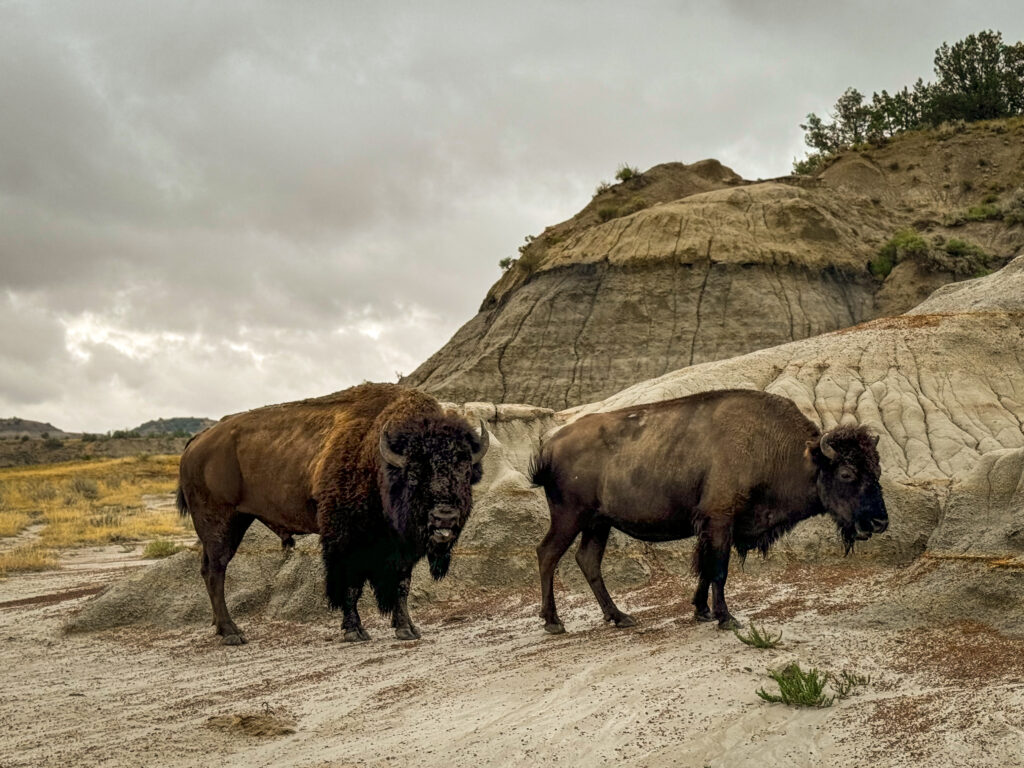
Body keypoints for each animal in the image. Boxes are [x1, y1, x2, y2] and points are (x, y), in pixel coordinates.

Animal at [176, 382, 487, 643]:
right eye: (414, 474)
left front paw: (407, 629)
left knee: (209, 570)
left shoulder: (401, 548)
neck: (376, 458)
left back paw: (221, 628)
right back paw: (232, 633)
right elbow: (349, 586)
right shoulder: (345, 540)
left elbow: (402, 585)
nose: (444, 517)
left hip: (235, 521)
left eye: (465, 472)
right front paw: (354, 631)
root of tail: (197, 441)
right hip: (220, 523)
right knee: (216, 571)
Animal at [528, 393, 888, 634]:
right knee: (548, 553)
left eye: (877, 470)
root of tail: (550, 446)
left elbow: (704, 567)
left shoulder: (711, 526)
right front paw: (727, 618)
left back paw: (620, 617)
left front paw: (702, 611)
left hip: (597, 523)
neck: (787, 453)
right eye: (846, 474)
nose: (880, 522)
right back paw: (554, 622)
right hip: (570, 516)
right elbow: (718, 569)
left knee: (587, 560)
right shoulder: (719, 520)